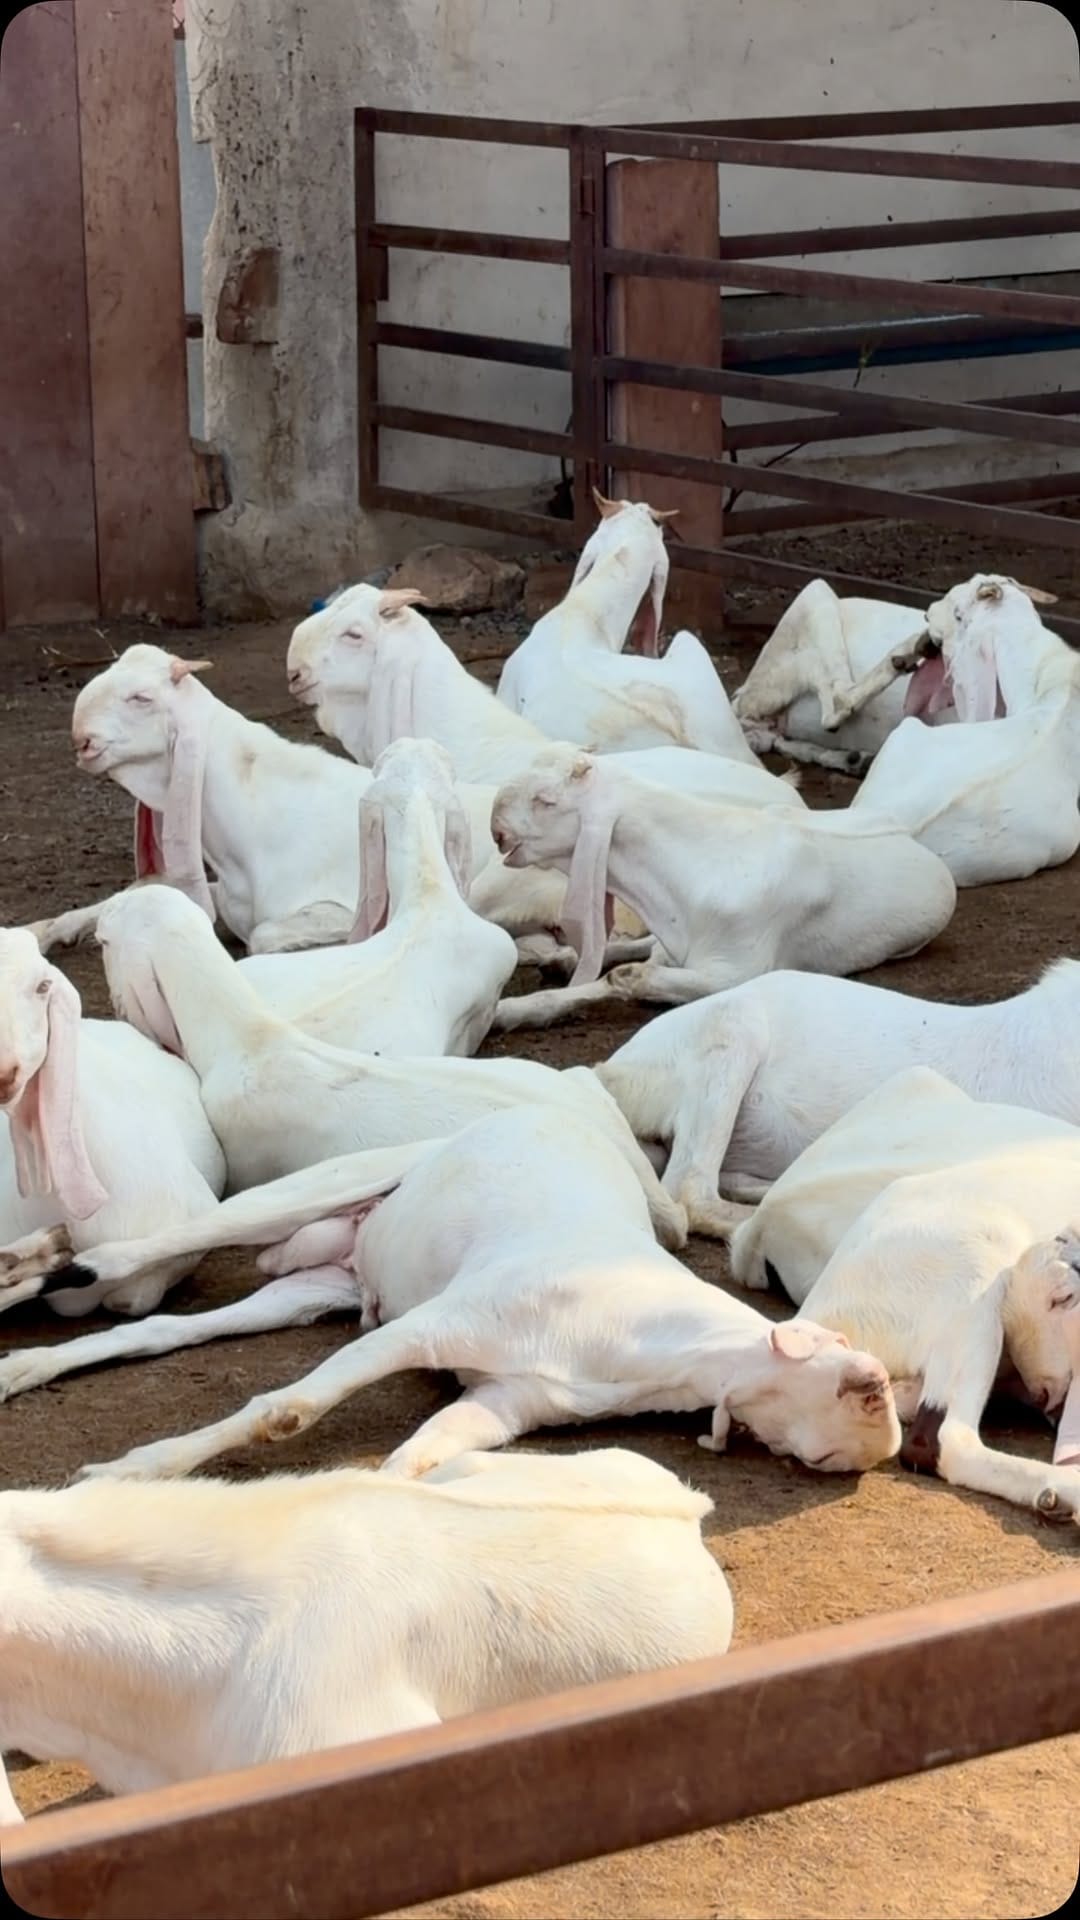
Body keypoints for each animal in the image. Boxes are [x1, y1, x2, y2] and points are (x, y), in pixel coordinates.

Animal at [13, 1106, 898, 1480]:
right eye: (864, 1387)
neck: (637, 1326)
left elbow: (418, 1457)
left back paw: (15, 1371)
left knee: (163, 1333)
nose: (850, 1460)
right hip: (319, 1189)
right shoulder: (430, 1328)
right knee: (138, 1252)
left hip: (320, 1283)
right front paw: (127, 1473)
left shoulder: (505, 1403)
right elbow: (283, 1410)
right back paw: (42, 1266)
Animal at [487, 746, 955, 1024]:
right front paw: (513, 1010)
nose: (496, 829)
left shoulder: (740, 972)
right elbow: (607, 978)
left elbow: (628, 978)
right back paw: (563, 958)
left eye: (545, 801)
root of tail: (907, 834)